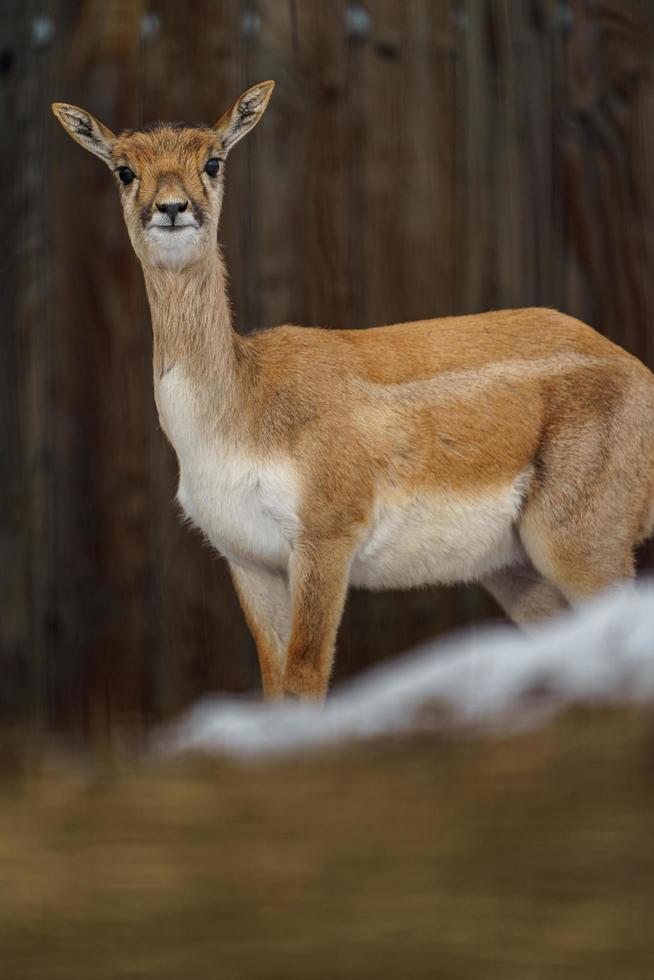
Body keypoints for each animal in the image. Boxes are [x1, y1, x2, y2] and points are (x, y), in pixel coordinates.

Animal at [53, 82, 654, 696]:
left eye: (213, 161)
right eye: (124, 169)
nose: (172, 208)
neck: (241, 411)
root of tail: (642, 374)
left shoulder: (328, 536)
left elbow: (306, 679)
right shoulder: (248, 561)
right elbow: (274, 687)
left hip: (582, 542)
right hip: (517, 569)